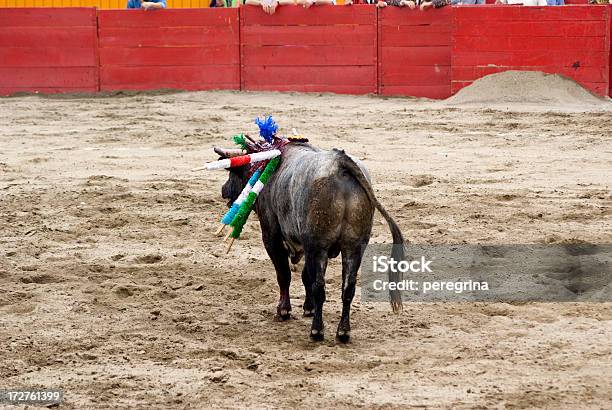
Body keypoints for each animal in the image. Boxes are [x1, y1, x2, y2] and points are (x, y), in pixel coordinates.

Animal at [218, 141, 404, 342]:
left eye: (232, 173)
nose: (223, 190)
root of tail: (340, 162)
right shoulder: (309, 247)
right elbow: (306, 275)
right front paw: (309, 308)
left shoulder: (272, 236)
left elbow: (284, 275)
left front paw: (284, 310)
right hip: (353, 247)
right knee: (348, 288)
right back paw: (343, 331)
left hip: (319, 247)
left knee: (319, 286)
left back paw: (317, 330)